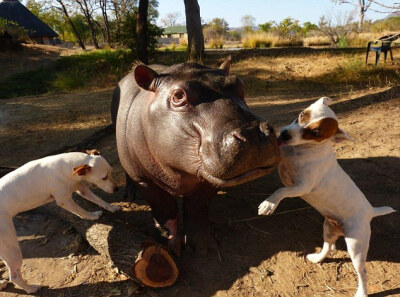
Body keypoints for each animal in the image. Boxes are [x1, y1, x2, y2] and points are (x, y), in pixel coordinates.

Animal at [0, 149, 122, 292]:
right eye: (104, 177)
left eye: (111, 172)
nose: (116, 189)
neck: (66, 167)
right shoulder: (64, 200)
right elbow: (80, 211)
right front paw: (92, 216)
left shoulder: (81, 187)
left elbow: (99, 199)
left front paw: (112, 208)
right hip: (11, 248)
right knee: (14, 275)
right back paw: (31, 289)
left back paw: (2, 283)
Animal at [260, 97, 394, 296]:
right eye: (302, 114)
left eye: (315, 133)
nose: (284, 134)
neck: (301, 150)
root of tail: (370, 211)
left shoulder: (302, 186)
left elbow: (281, 191)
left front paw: (269, 204)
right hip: (329, 228)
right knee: (329, 247)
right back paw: (317, 258)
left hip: (356, 245)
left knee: (362, 271)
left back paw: (361, 292)